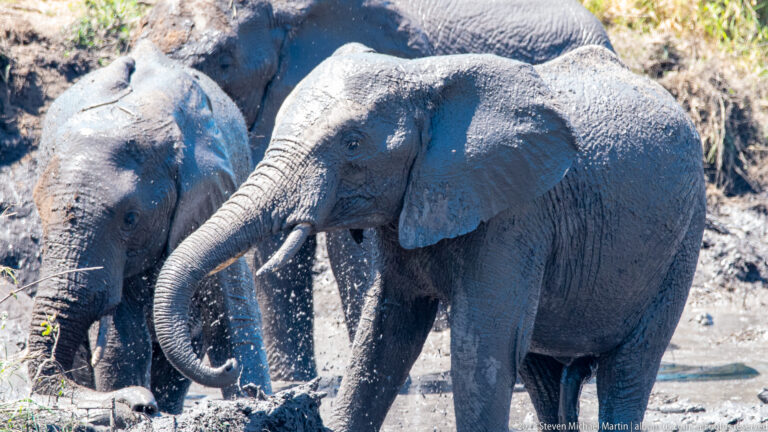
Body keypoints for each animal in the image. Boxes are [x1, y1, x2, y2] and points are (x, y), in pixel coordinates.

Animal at [26, 40, 270, 420]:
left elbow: (231, 316)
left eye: (130, 218)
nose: (143, 404)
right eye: (40, 212)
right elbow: (123, 344)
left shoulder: (215, 191)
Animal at [151, 44, 706, 430]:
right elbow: (385, 337)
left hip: (683, 239)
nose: (227, 369)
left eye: (353, 144)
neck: (423, 77)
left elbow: (481, 346)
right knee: (545, 378)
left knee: (627, 371)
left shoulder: (515, 213)